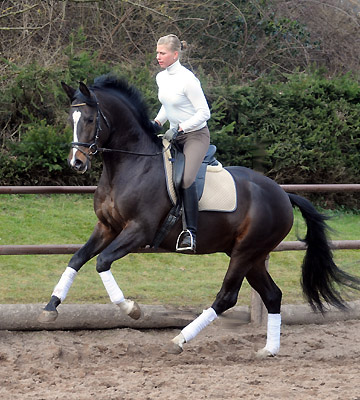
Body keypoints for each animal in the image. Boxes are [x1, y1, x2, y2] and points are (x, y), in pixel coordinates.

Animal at [39, 74, 360, 356]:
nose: (76, 162)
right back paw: (268, 349)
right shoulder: (106, 227)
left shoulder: (138, 230)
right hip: (253, 256)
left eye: (90, 119)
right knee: (272, 295)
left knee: (227, 297)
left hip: (246, 252)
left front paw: (131, 309)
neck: (130, 165)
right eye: (71, 120)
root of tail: (283, 194)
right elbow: (77, 258)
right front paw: (51, 307)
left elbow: (102, 262)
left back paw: (180, 339)